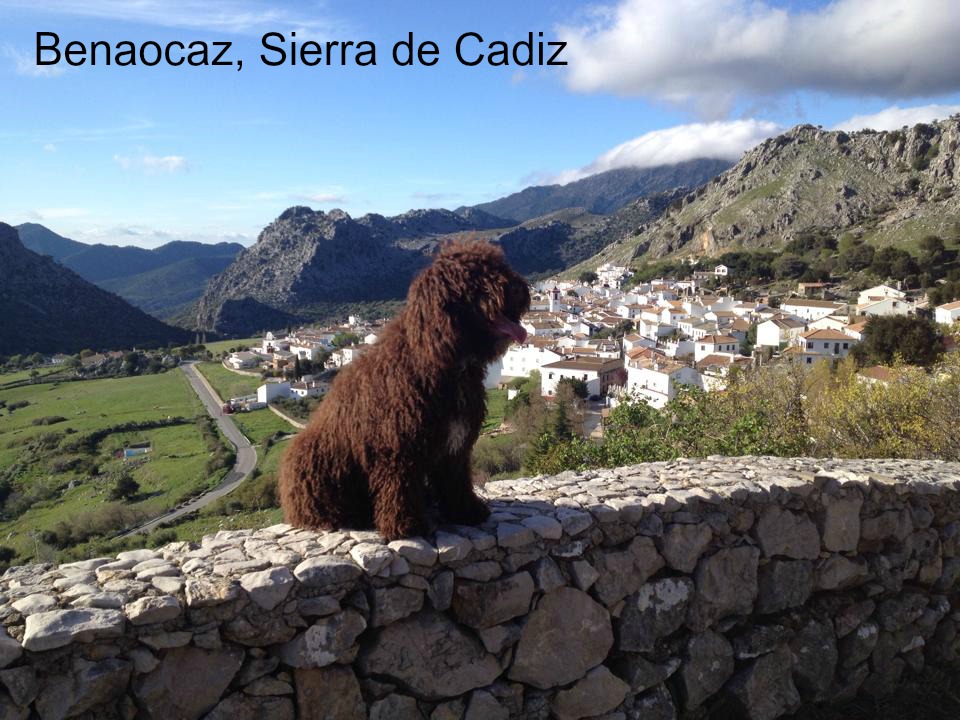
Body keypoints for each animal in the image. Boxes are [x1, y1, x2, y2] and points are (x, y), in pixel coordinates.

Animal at [278, 240, 530, 540]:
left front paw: (465, 511)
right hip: (316, 459)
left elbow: (456, 481)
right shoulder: (397, 449)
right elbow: (399, 487)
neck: (438, 359)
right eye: (475, 276)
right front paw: (406, 525)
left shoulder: (455, 448)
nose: (519, 288)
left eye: (499, 266)